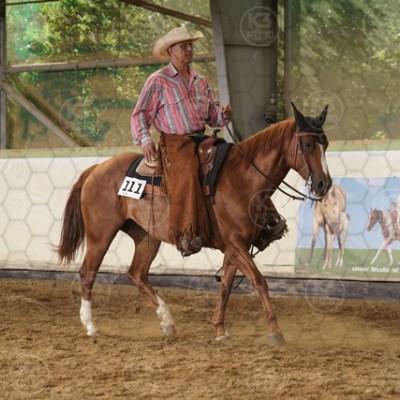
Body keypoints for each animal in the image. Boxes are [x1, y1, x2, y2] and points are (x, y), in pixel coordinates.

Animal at [58, 102, 332, 347]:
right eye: (308, 144)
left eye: (325, 143)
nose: (323, 184)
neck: (242, 178)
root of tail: (96, 168)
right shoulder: (235, 245)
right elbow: (259, 281)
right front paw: (275, 332)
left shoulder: (234, 247)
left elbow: (225, 287)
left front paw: (220, 329)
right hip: (101, 235)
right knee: (87, 272)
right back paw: (91, 326)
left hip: (147, 236)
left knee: (136, 274)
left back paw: (167, 321)